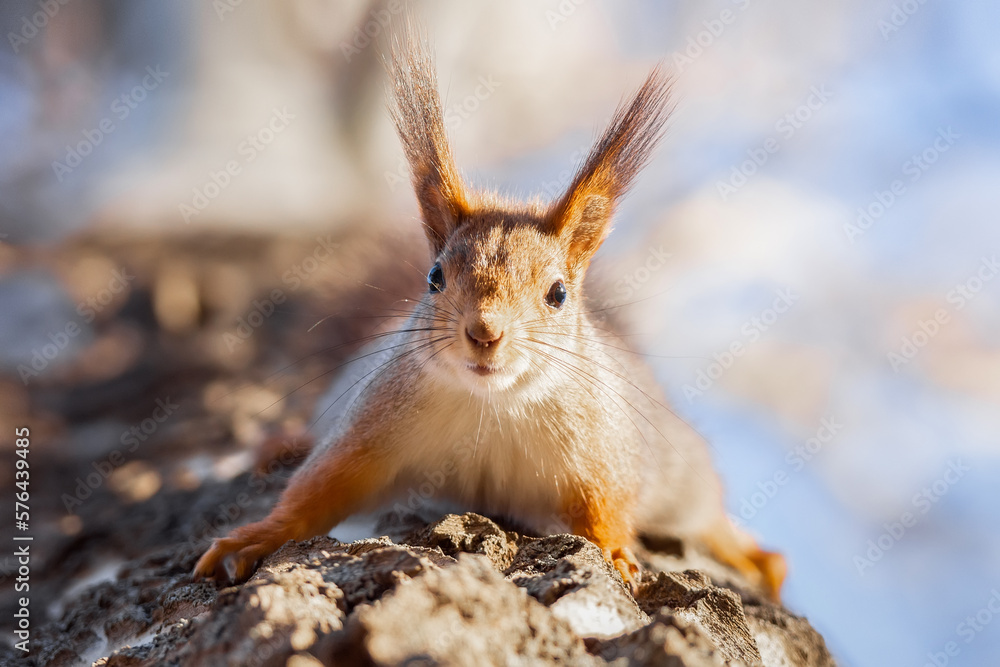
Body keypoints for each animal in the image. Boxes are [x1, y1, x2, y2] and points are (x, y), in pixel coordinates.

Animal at [195, 27, 786, 600]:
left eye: (557, 294)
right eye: (434, 277)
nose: (484, 332)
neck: (491, 406)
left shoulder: (602, 449)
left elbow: (606, 507)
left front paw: (618, 554)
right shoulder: (371, 426)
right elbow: (320, 487)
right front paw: (255, 536)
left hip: (676, 463)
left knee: (703, 507)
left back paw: (748, 551)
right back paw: (281, 442)